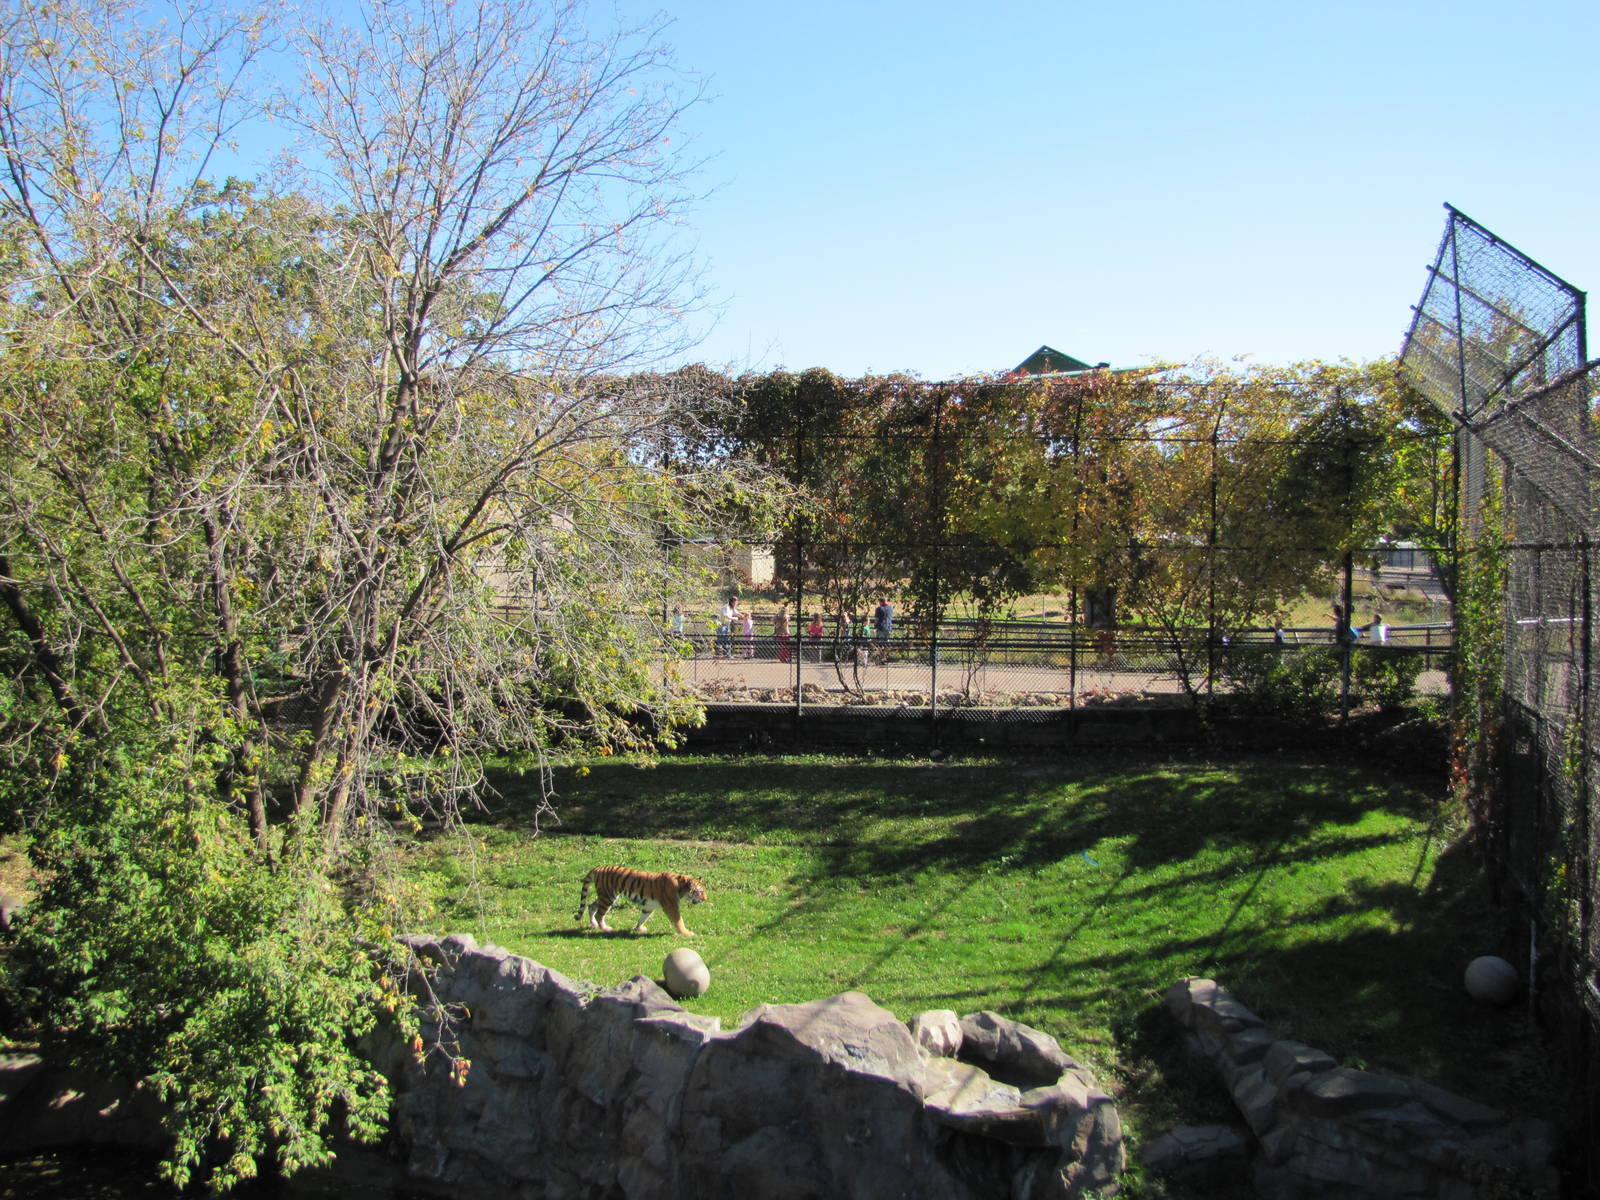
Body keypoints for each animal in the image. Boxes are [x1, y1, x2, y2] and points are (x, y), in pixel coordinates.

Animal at [573, 865, 707, 936]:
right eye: (700, 892)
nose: (706, 899)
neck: (681, 887)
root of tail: (599, 867)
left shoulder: (649, 906)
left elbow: (643, 917)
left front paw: (639, 929)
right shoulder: (671, 906)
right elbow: (679, 920)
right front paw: (686, 933)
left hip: (606, 896)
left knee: (591, 906)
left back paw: (593, 925)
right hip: (608, 897)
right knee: (599, 914)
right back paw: (605, 928)